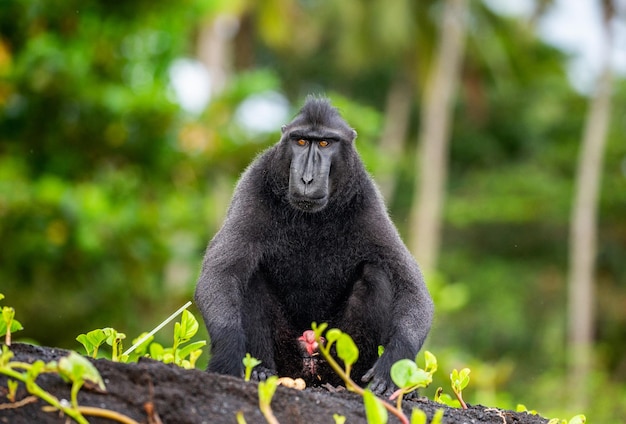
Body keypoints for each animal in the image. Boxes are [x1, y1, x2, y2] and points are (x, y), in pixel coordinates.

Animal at [193, 94, 432, 396]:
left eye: (325, 143)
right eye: (301, 141)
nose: (307, 179)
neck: (312, 217)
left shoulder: (367, 201)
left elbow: (412, 287)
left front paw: (393, 364)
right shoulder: (253, 186)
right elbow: (221, 274)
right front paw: (227, 357)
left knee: (376, 274)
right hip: (287, 354)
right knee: (249, 277)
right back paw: (261, 371)